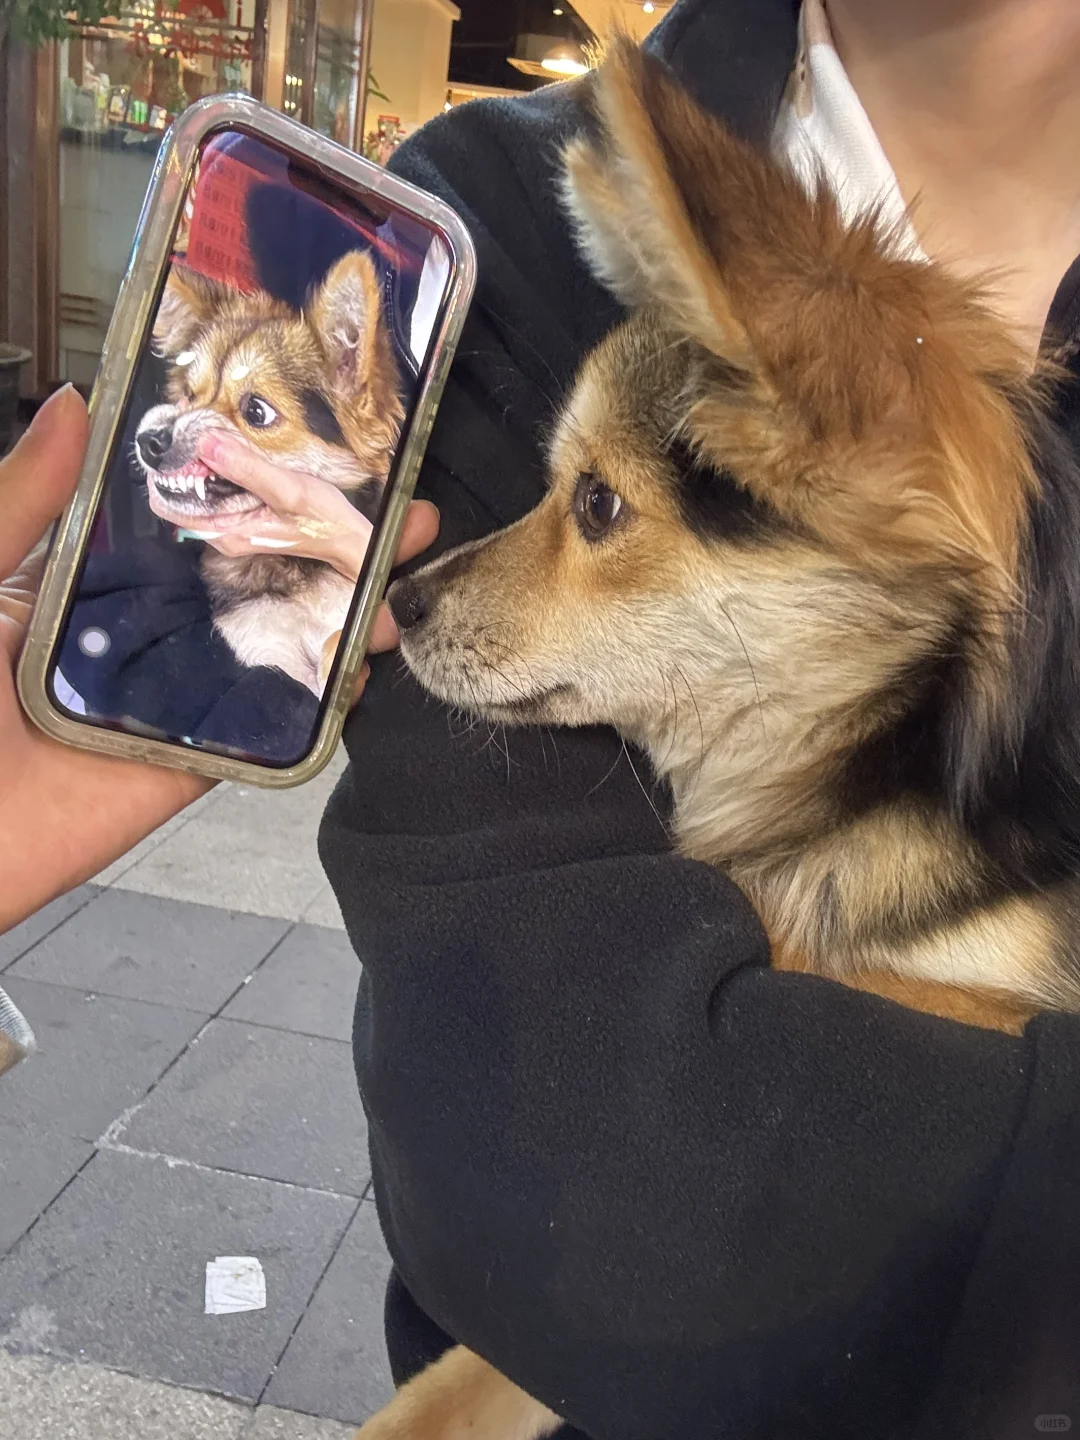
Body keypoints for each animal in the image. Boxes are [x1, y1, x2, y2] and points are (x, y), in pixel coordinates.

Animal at [135, 248, 403, 696]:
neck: (296, 568)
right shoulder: (263, 648)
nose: (148, 440)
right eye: (188, 395)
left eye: (256, 411)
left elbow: (333, 641)